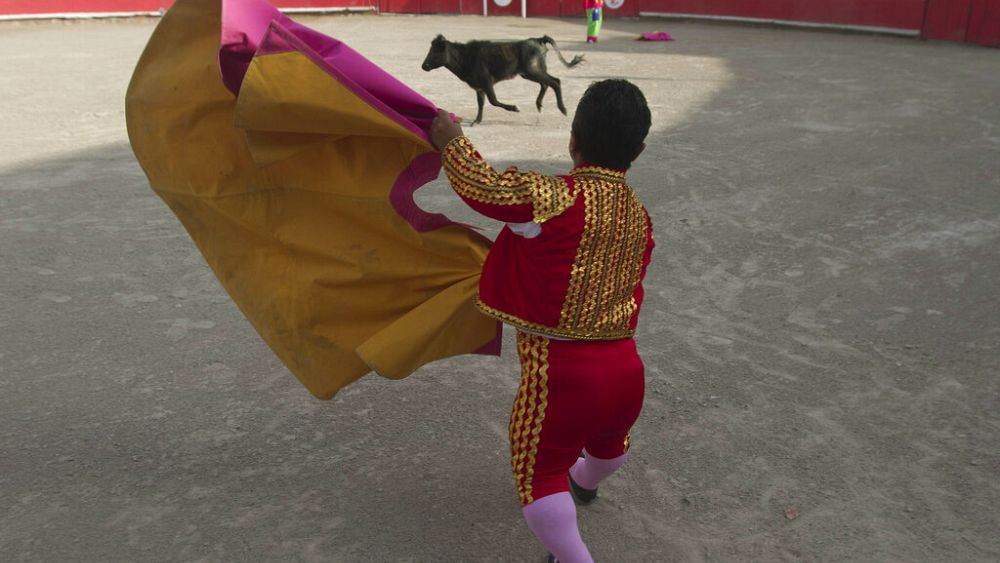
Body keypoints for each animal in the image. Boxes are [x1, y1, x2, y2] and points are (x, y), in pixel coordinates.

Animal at [424, 34, 584, 125]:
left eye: (435, 52)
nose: (423, 66)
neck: (466, 57)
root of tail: (538, 40)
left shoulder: (487, 82)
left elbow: (493, 101)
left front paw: (514, 108)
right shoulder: (479, 87)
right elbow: (481, 103)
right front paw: (476, 121)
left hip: (532, 70)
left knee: (555, 82)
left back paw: (562, 109)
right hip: (530, 72)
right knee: (546, 84)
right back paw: (539, 104)